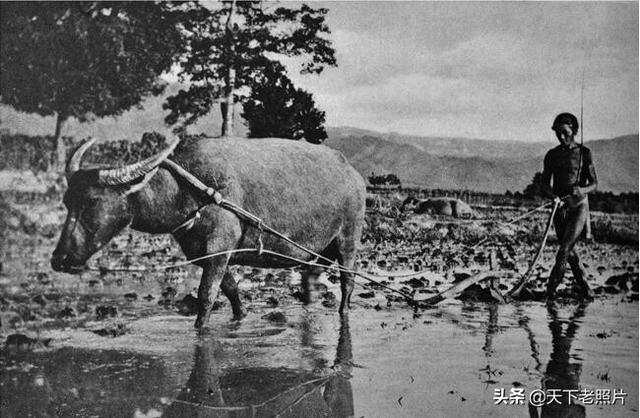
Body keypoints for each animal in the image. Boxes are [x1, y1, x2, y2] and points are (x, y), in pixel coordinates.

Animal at [51, 136, 364, 328]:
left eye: (93, 201)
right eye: (66, 201)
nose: (59, 259)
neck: (190, 189)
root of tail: (354, 174)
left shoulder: (218, 251)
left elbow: (206, 297)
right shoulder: (204, 254)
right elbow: (232, 290)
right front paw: (240, 317)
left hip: (348, 239)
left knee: (348, 281)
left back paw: (344, 312)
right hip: (317, 250)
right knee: (310, 279)